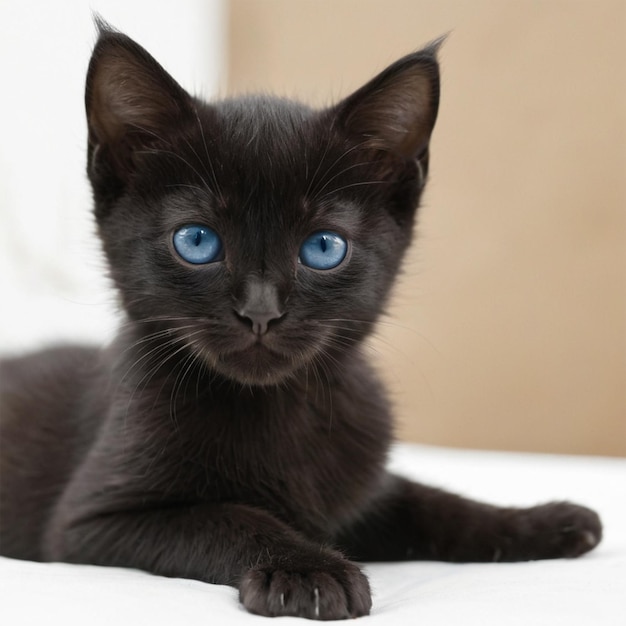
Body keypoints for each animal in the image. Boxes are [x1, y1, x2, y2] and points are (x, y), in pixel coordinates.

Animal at [0, 22, 600, 616]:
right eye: (196, 241)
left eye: (324, 248)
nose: (261, 310)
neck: (278, 407)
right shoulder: (89, 523)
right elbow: (225, 515)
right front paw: (309, 569)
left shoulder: (364, 490)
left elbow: (426, 500)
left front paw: (540, 522)